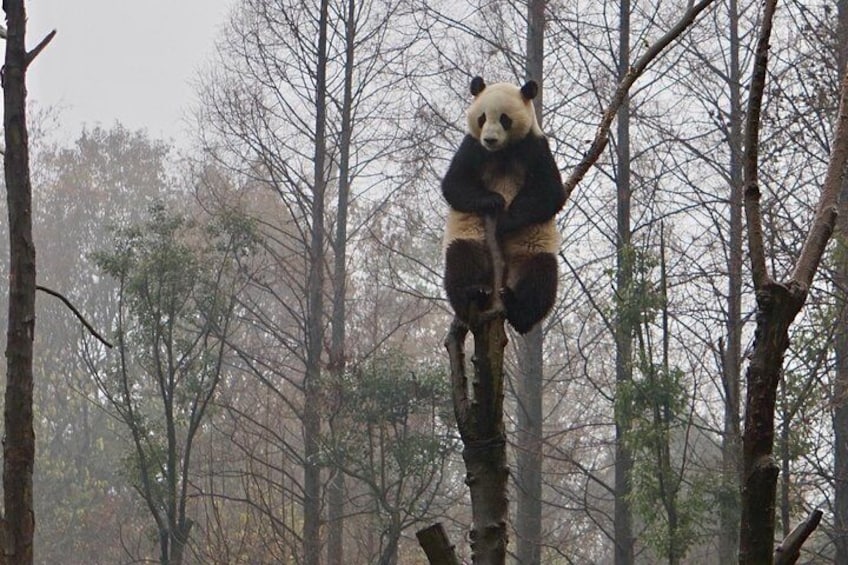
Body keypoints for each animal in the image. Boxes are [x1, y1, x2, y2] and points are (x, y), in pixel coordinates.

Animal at [440, 74, 568, 330]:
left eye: (504, 119)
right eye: (482, 118)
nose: (490, 139)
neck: (502, 151)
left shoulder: (535, 146)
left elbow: (548, 192)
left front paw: (505, 221)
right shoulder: (472, 146)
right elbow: (455, 184)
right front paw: (493, 200)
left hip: (532, 250)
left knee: (540, 279)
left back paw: (518, 310)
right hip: (471, 237)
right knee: (461, 261)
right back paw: (474, 292)